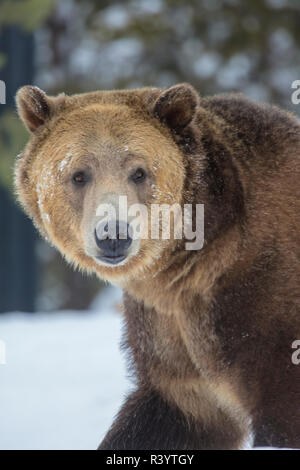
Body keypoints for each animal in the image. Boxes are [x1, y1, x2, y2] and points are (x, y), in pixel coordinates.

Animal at [14, 82, 300, 450]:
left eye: (139, 171)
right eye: (79, 175)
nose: (113, 234)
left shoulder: (260, 302)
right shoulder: (167, 334)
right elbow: (170, 417)